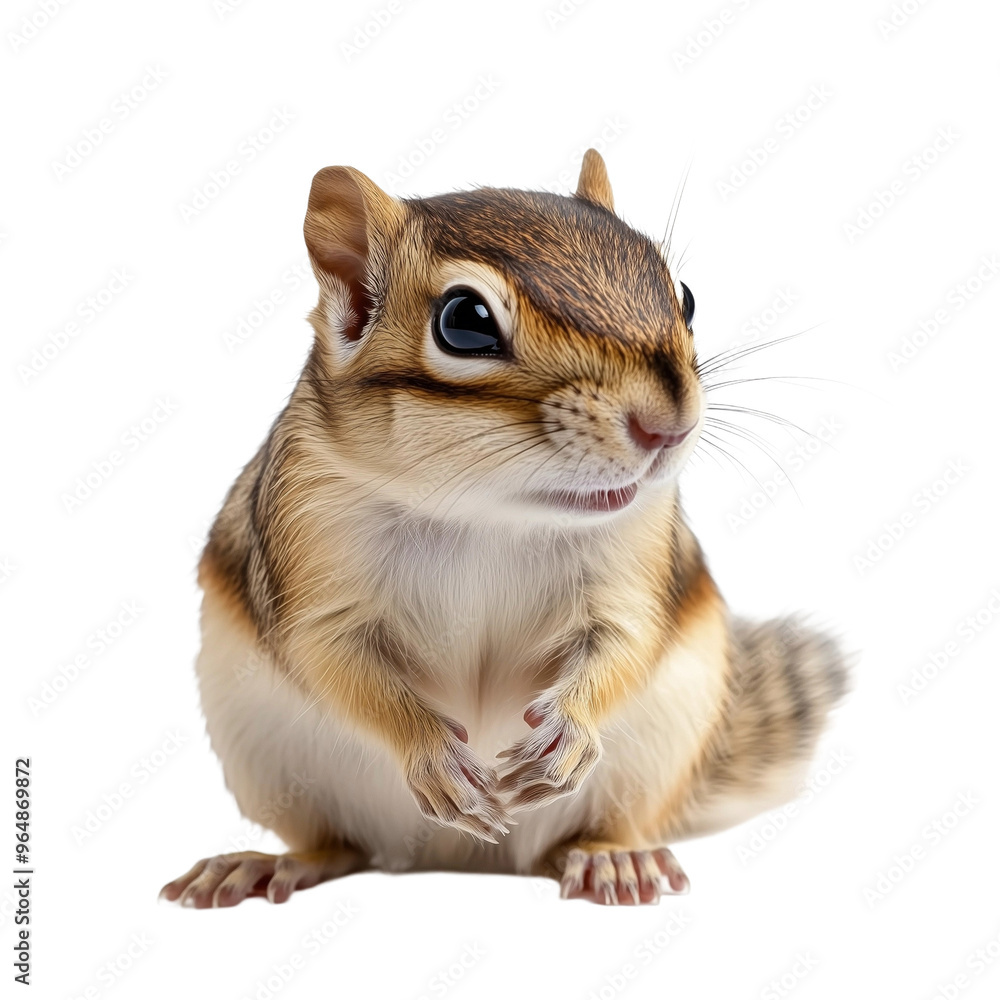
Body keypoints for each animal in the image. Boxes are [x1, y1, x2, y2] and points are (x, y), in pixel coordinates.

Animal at [160, 149, 848, 907]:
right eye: (465, 321)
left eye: (686, 297)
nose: (667, 425)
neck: (490, 510)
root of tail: (463, 860)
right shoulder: (309, 542)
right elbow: (333, 659)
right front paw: (433, 753)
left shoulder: (632, 563)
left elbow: (625, 644)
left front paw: (568, 734)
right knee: (337, 844)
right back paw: (269, 864)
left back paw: (614, 860)